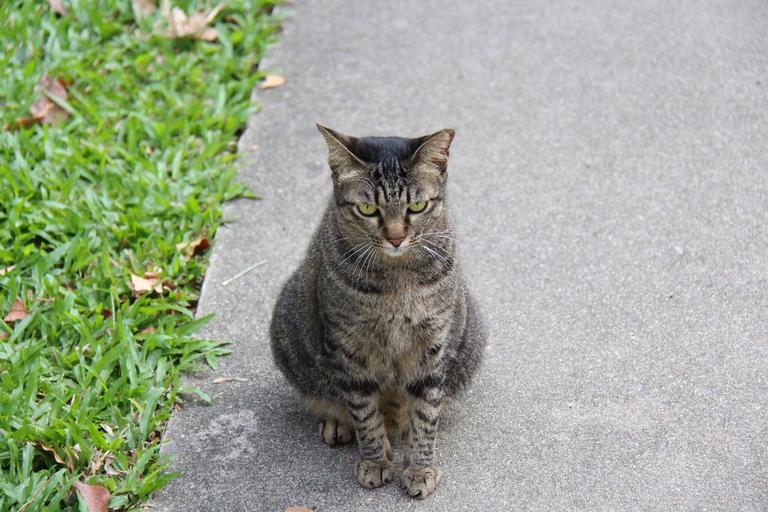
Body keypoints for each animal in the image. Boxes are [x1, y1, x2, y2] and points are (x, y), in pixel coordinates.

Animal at [270, 124, 486, 499]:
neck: (397, 281)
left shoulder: (433, 343)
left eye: (417, 205)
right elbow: (364, 412)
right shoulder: (349, 346)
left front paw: (420, 467)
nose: (396, 237)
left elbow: (426, 412)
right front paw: (375, 461)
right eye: (368, 210)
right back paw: (336, 423)